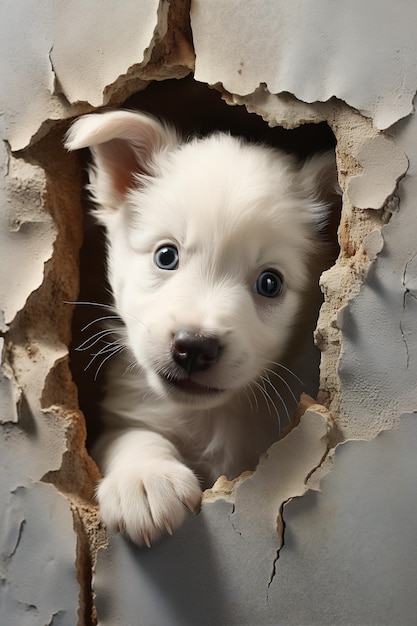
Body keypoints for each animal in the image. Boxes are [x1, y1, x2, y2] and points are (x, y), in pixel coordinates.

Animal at [66, 112, 338, 544]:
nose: (193, 347)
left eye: (270, 283)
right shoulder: (122, 420)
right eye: (166, 256)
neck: (214, 416)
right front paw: (145, 479)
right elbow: (132, 435)